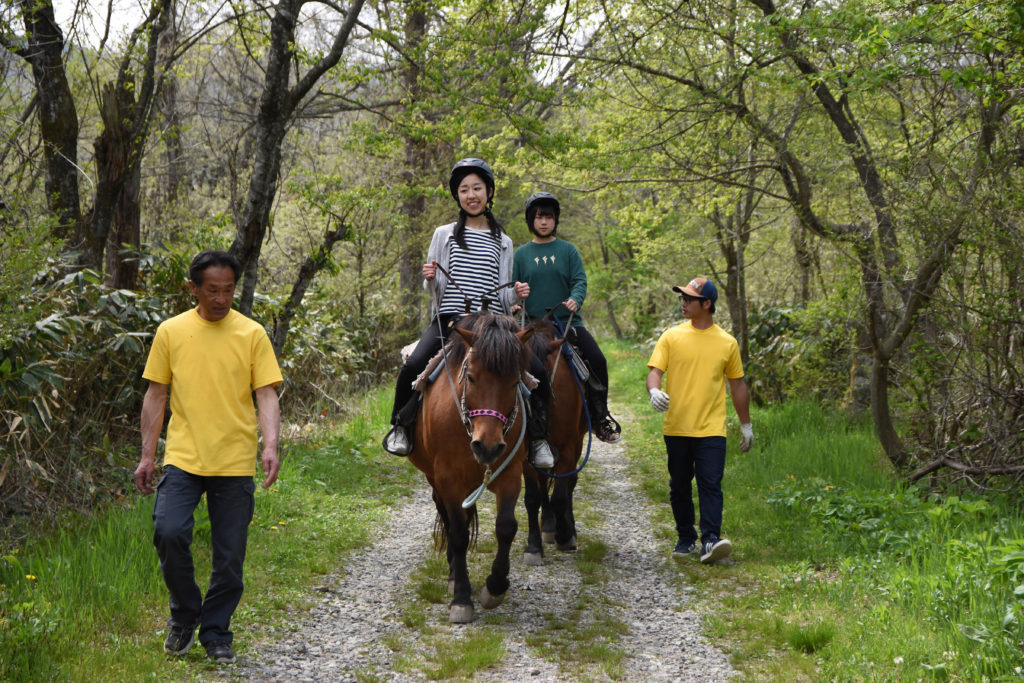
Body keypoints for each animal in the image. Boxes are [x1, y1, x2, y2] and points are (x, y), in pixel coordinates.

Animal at [407, 313, 536, 622]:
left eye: (515, 381)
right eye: (471, 377)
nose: (487, 446)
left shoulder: (510, 473)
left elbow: (506, 527)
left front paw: (495, 587)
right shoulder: (447, 479)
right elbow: (458, 534)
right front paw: (461, 599)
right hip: (435, 479)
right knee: (449, 520)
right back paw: (455, 575)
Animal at [524, 317, 589, 565]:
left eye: (540, 375)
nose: (532, 422)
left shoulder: (568, 448)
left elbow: (561, 495)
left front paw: (566, 535)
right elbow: (533, 497)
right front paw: (533, 547)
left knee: (569, 484)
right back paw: (549, 526)